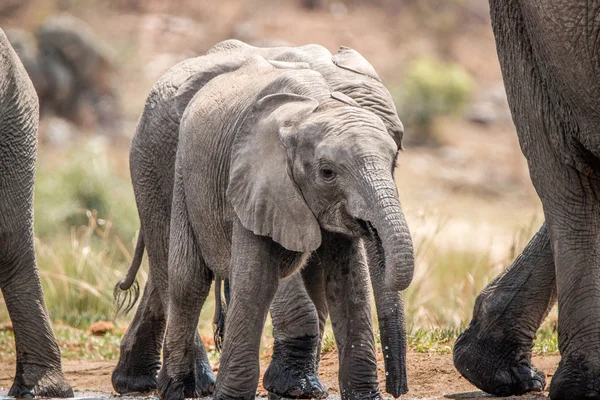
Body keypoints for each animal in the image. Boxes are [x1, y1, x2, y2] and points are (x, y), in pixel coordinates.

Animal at [157, 54, 414, 400]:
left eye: (393, 163)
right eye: (327, 172)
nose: (398, 390)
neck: (316, 108)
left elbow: (348, 287)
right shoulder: (254, 181)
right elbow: (256, 283)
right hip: (185, 175)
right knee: (189, 281)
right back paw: (173, 390)